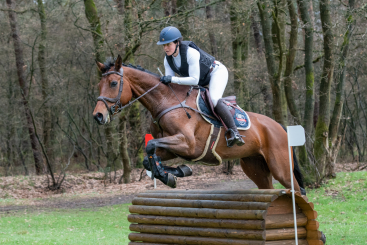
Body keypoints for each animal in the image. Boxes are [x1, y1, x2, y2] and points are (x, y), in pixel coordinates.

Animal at [93, 56, 306, 195]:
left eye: (113, 83)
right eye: (99, 86)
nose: (98, 116)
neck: (166, 101)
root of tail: (280, 127)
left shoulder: (188, 144)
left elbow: (151, 145)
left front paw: (173, 173)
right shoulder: (172, 147)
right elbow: (149, 157)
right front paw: (173, 174)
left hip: (280, 168)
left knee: (296, 189)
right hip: (255, 167)